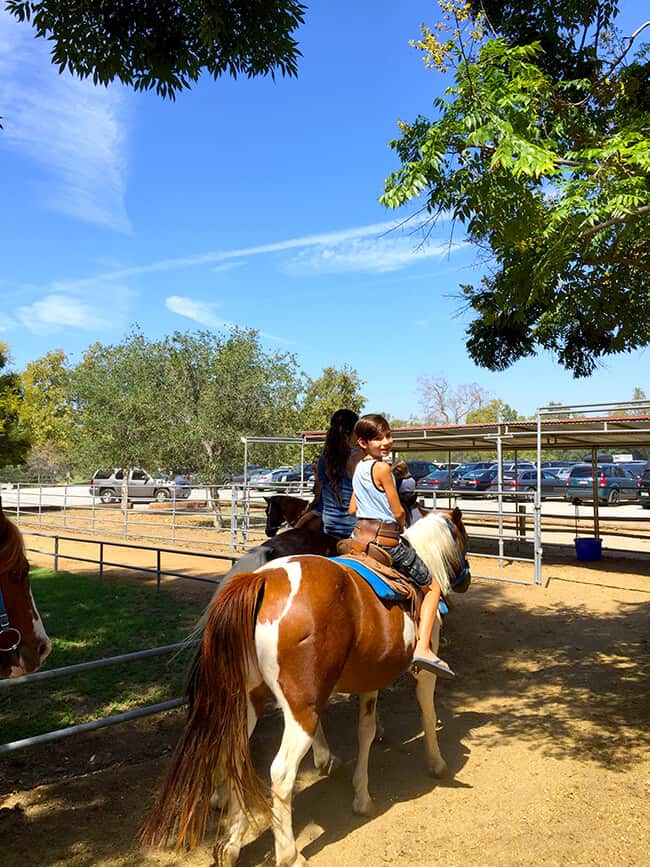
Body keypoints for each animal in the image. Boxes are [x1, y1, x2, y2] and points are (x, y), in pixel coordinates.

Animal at [142, 512, 468, 864]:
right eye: (463, 537)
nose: (465, 580)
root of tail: (263, 580)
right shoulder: (424, 669)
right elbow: (426, 713)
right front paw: (436, 764)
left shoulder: (370, 677)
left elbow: (365, 730)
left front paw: (361, 796)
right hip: (301, 707)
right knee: (281, 773)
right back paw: (289, 854)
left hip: (248, 697)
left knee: (235, 755)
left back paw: (230, 844)